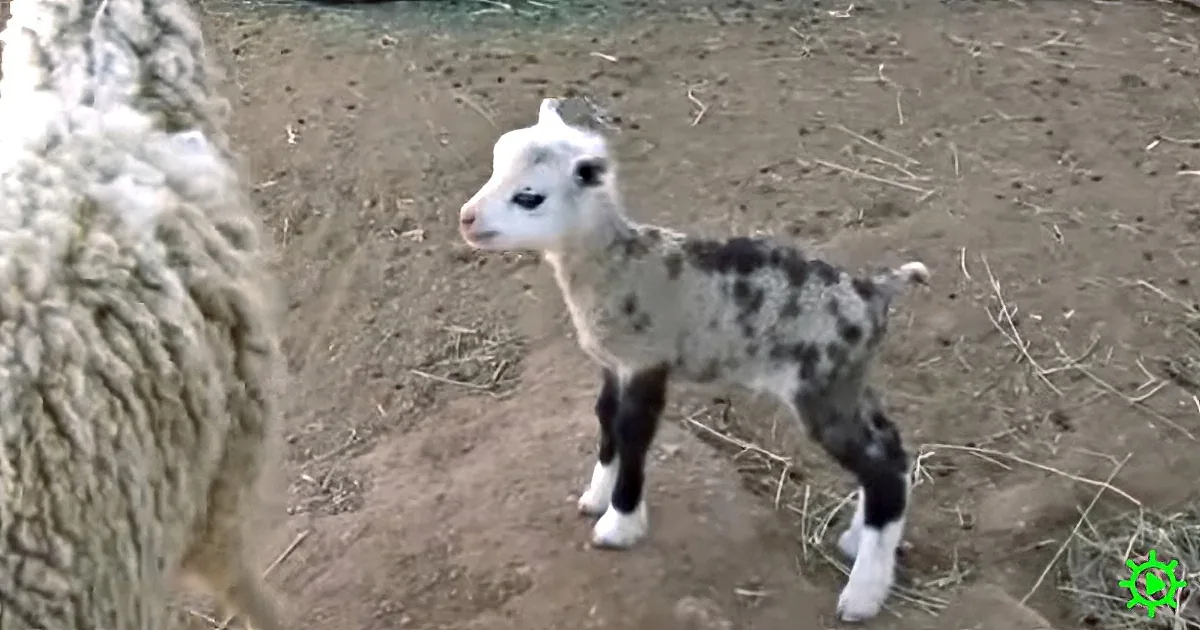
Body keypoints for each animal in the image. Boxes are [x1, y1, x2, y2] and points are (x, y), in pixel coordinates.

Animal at [457, 97, 930, 623]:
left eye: (529, 197)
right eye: (495, 167)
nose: (466, 219)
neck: (617, 265)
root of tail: (875, 292)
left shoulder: (647, 359)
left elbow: (633, 432)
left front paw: (619, 524)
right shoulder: (615, 362)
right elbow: (605, 419)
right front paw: (596, 497)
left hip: (822, 384)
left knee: (882, 465)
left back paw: (863, 594)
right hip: (849, 379)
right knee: (890, 447)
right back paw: (857, 539)